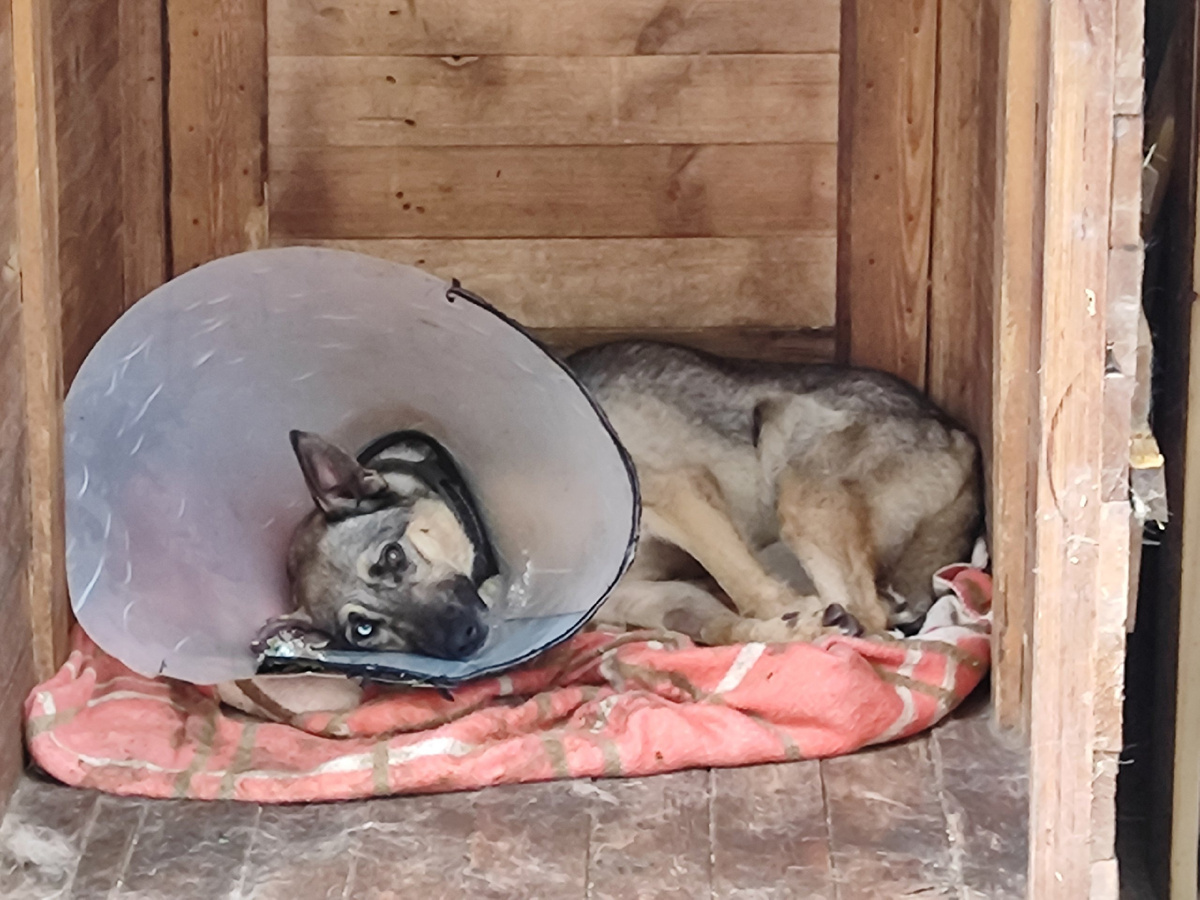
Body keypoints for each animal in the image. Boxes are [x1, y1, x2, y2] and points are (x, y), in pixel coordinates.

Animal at [269, 340, 982, 660]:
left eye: (391, 558)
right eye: (363, 630)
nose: (464, 640)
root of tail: (959, 436)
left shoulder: (676, 494)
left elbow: (743, 584)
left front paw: (791, 616)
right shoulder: (647, 598)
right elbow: (716, 622)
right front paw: (781, 631)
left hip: (797, 482)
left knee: (873, 618)